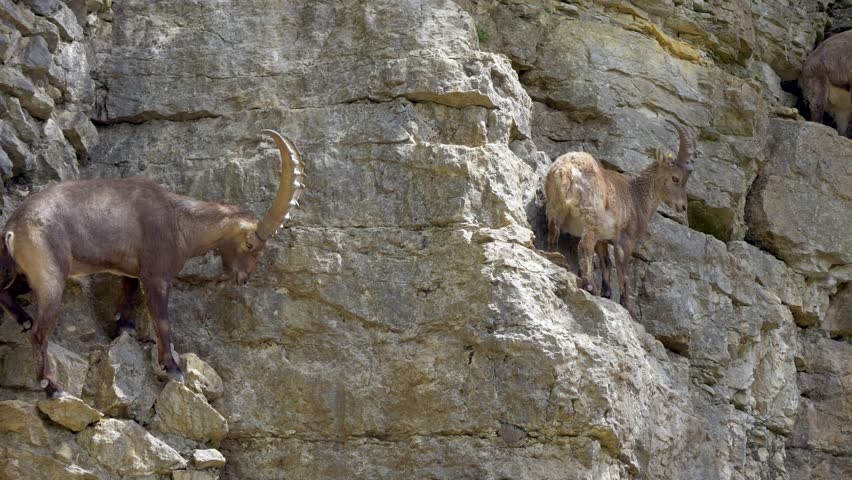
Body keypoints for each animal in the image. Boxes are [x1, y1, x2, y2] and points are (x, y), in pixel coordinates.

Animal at [0, 130, 304, 398]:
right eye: (251, 245)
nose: (243, 278)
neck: (180, 221)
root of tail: (13, 228)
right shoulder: (157, 276)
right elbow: (162, 321)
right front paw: (172, 368)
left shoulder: (131, 271)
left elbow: (127, 295)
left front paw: (124, 328)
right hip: (51, 278)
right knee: (39, 333)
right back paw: (52, 387)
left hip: (23, 275)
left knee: (4, 293)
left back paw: (24, 320)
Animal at [545, 121, 695, 317]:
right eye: (675, 178)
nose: (683, 207)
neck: (637, 196)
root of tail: (567, 170)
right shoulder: (626, 239)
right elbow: (623, 272)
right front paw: (628, 307)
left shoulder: (603, 238)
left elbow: (606, 263)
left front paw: (607, 293)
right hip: (590, 216)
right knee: (584, 246)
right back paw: (589, 285)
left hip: (555, 207)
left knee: (553, 233)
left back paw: (555, 258)